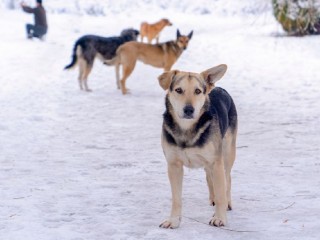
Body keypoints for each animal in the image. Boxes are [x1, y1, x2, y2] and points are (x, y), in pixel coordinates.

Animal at [158, 64, 238, 230]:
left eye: (198, 91)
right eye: (179, 90)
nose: (189, 110)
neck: (187, 129)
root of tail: (218, 87)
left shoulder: (216, 162)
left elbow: (221, 193)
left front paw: (219, 218)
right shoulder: (174, 165)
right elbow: (176, 198)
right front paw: (173, 220)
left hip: (227, 154)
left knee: (227, 179)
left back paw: (226, 204)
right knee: (209, 178)